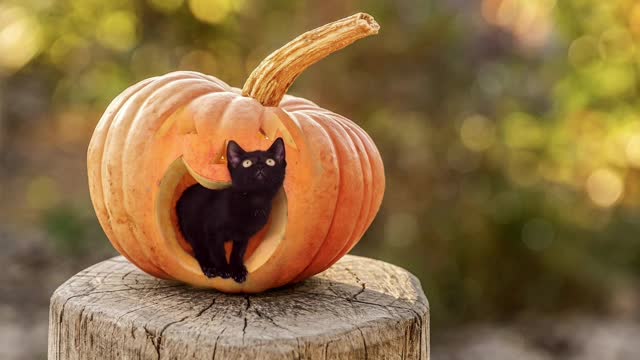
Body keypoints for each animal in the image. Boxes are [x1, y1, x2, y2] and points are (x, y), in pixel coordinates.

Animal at [175, 139, 284, 284]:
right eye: (247, 163)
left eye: (270, 161)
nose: (260, 166)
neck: (254, 200)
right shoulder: (213, 231)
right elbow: (218, 251)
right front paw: (223, 269)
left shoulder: (243, 236)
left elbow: (238, 252)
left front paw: (237, 270)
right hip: (192, 228)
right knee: (199, 250)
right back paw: (209, 267)